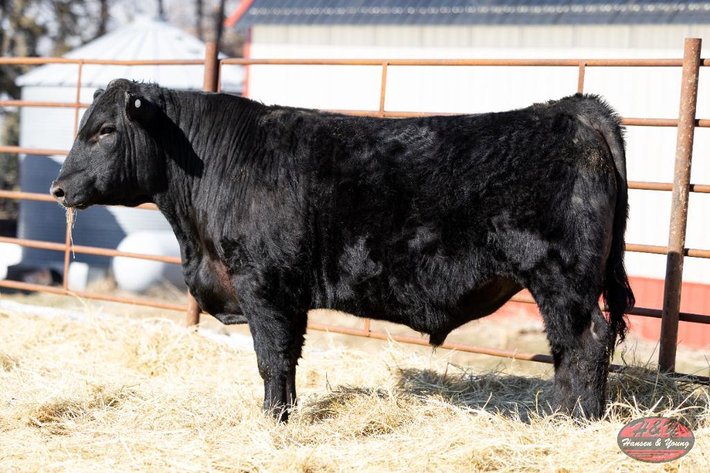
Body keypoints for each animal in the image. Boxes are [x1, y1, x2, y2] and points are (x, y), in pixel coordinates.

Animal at [51, 79, 634, 422]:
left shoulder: (265, 286)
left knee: (585, 342)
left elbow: (272, 360)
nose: (58, 188)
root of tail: (575, 110)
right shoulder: (285, 295)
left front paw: (274, 422)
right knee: (571, 347)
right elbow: (286, 360)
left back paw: (574, 420)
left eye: (105, 130)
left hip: (561, 277)